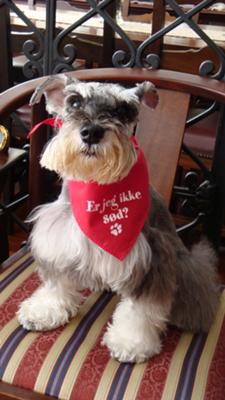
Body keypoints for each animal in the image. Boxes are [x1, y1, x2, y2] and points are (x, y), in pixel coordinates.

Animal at [17, 74, 220, 362]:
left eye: (124, 110)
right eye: (74, 101)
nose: (91, 132)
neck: (96, 186)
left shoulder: (150, 261)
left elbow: (142, 307)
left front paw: (131, 342)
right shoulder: (57, 241)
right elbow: (56, 282)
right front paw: (45, 310)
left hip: (182, 265)